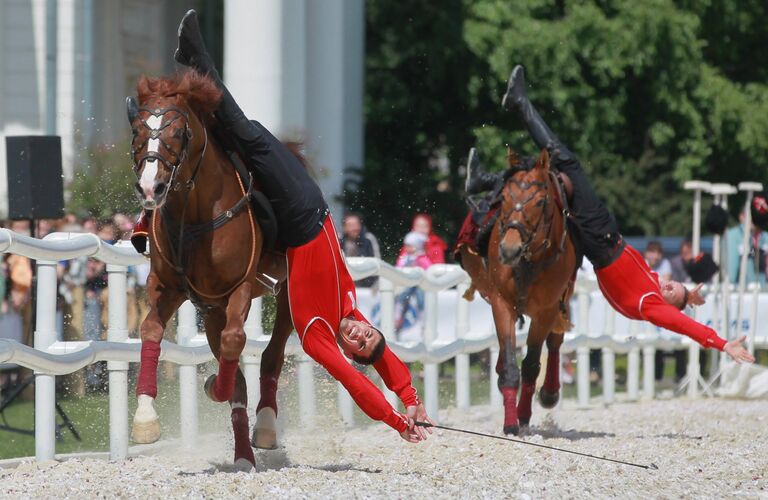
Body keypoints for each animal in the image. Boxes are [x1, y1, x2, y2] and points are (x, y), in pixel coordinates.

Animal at [127, 72, 288, 466]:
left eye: (179, 131)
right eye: (137, 129)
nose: (150, 187)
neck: (196, 213)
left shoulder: (239, 287)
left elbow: (236, 342)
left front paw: (215, 385)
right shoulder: (167, 286)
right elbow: (151, 329)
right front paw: (145, 419)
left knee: (272, 351)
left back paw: (264, 424)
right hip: (212, 309)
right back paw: (243, 454)